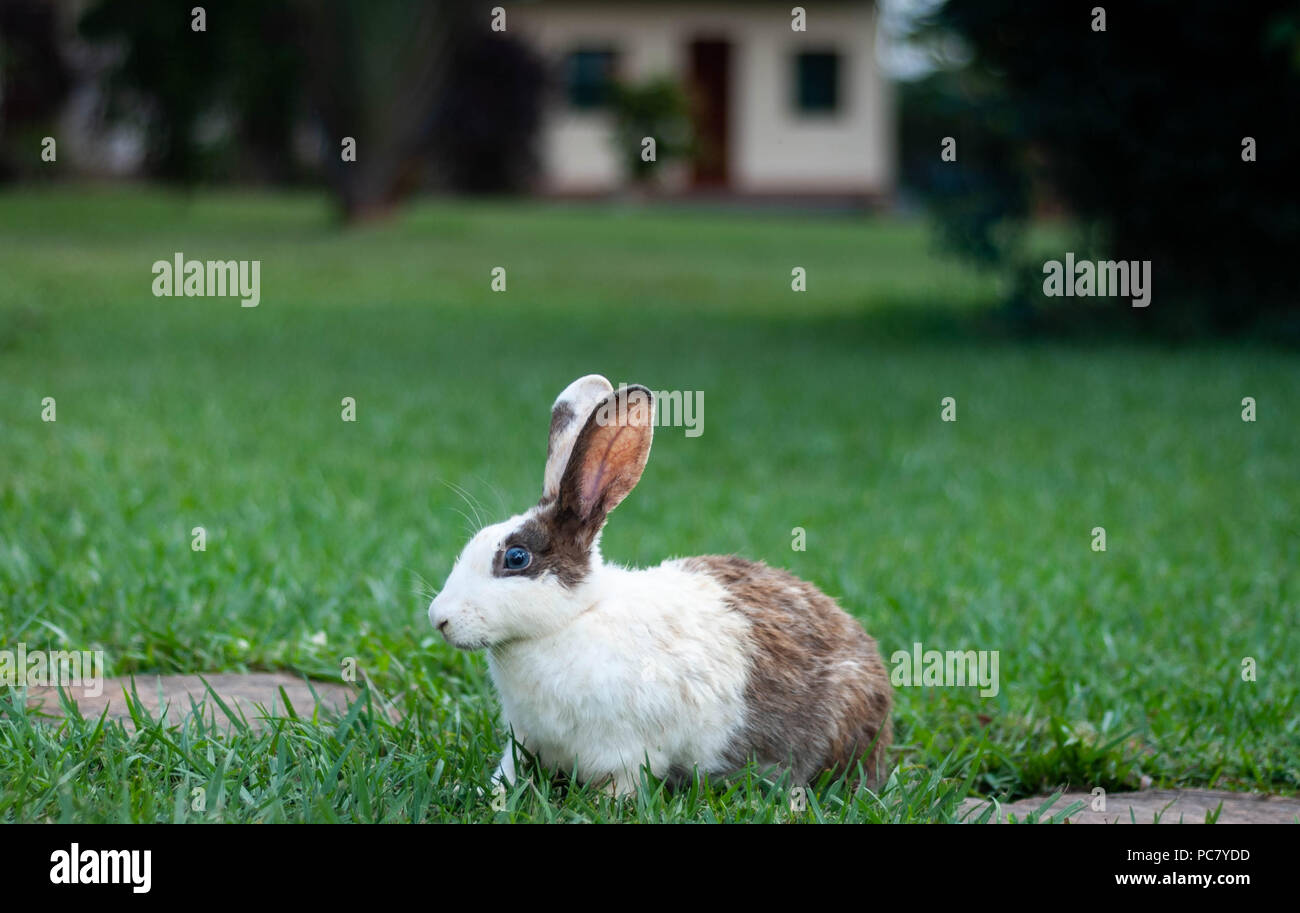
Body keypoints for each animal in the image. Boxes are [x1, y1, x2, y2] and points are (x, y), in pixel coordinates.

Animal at [428, 374, 892, 797]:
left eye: (516, 558)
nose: (439, 619)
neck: (572, 619)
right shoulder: (523, 740)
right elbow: (508, 772)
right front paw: (490, 796)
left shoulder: (626, 755)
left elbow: (620, 788)